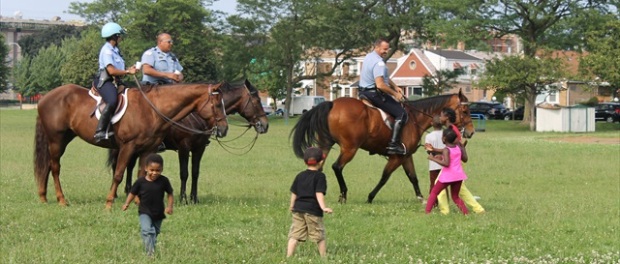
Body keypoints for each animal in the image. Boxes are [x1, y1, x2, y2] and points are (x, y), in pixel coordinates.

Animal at [34, 82, 228, 208]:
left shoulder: (148, 149)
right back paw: (61, 199)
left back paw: (43, 197)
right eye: (217, 105)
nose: (224, 129)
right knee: (55, 168)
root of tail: (44, 98)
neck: (152, 109)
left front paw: (138, 201)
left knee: (47, 166)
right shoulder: (129, 147)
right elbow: (119, 174)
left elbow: (141, 173)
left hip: (64, 138)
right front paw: (109, 202)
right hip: (56, 140)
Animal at [108, 79, 268, 205]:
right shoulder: (184, 147)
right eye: (257, 101)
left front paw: (194, 198)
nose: (265, 125)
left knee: (129, 166)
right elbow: (184, 173)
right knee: (119, 165)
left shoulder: (199, 148)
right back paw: (117, 194)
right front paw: (183, 198)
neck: (196, 115)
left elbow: (195, 172)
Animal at [292, 91, 474, 204]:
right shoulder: (397, 157)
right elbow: (385, 177)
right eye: (465, 111)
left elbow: (412, 177)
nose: (471, 132)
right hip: (350, 148)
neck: (415, 118)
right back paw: (343, 194)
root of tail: (332, 103)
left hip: (325, 144)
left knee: (319, 167)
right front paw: (370, 197)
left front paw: (421, 198)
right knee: (337, 167)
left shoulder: (406, 156)